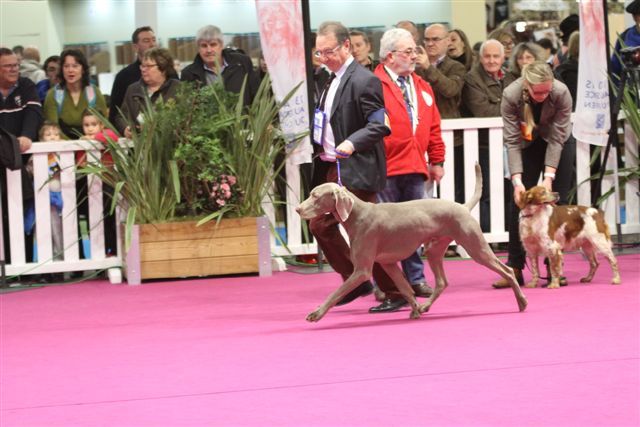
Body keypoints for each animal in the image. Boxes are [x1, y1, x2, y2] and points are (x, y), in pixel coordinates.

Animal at [298, 166, 528, 322]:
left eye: (315, 196)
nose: (298, 209)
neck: (357, 214)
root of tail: (463, 207)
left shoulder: (362, 270)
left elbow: (336, 293)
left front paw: (316, 313)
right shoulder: (388, 263)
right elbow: (405, 288)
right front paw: (416, 309)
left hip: (475, 247)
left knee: (507, 269)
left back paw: (522, 301)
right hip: (435, 249)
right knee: (442, 282)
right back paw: (425, 306)